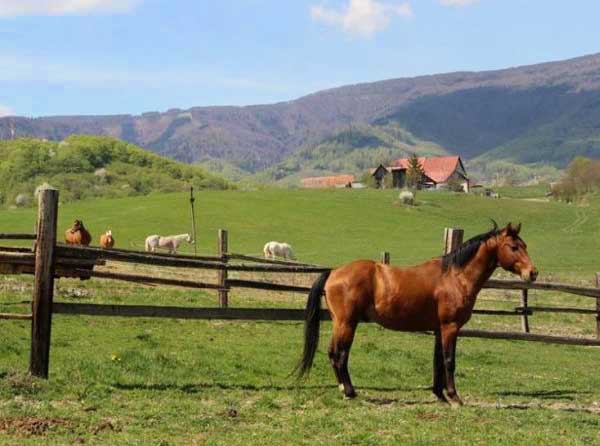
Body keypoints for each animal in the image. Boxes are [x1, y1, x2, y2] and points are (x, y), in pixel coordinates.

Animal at [298, 221, 536, 406]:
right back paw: (349, 392)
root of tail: (333, 272)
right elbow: (449, 361)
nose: (532, 273)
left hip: (340, 322)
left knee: (333, 352)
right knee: (340, 354)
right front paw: (454, 397)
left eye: (525, 245)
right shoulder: (450, 327)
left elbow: (438, 361)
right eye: (514, 247)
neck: (455, 277)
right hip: (347, 323)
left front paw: (440, 395)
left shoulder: (440, 330)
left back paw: (343, 389)